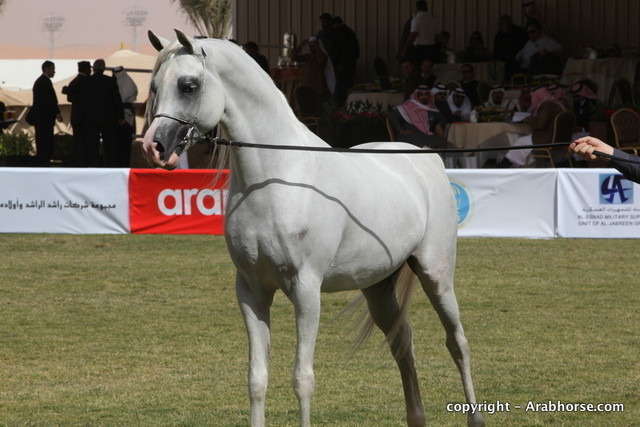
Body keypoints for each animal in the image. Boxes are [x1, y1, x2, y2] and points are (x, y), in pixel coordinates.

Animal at [142, 29, 485, 427]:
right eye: (154, 86)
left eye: (189, 85)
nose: (154, 146)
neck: (277, 177)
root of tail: (425, 157)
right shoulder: (251, 291)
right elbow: (256, 378)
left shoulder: (306, 291)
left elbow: (302, 379)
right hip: (378, 286)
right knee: (403, 342)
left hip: (436, 274)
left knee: (458, 343)